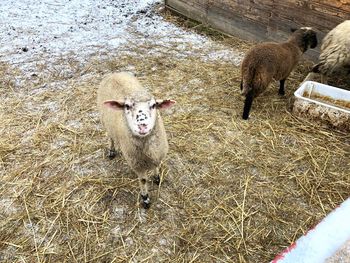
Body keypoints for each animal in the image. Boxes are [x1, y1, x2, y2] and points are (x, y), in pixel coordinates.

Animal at [97, 72, 175, 208]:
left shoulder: (158, 154)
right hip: (105, 122)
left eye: (154, 105)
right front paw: (145, 199)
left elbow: (157, 166)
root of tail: (114, 74)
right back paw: (111, 151)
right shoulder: (137, 164)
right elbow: (143, 181)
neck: (148, 150)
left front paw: (157, 178)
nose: (142, 125)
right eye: (127, 106)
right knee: (110, 137)